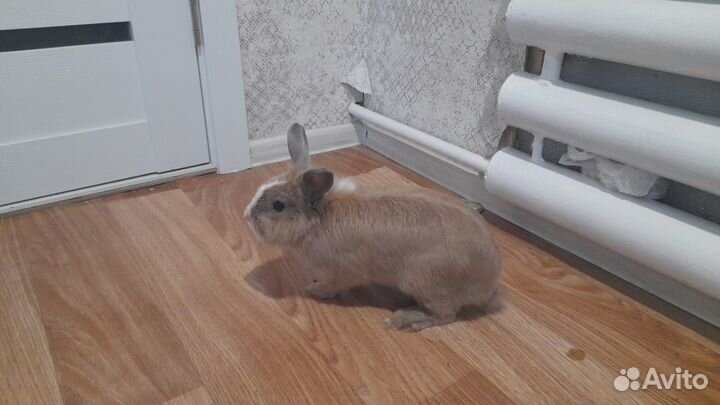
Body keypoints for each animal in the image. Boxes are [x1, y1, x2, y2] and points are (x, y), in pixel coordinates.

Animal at [244, 123, 502, 331]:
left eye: (278, 205)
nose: (246, 215)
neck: (320, 219)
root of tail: (489, 282)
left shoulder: (343, 271)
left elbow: (336, 285)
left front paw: (316, 289)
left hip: (424, 281)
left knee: (446, 315)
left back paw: (406, 319)